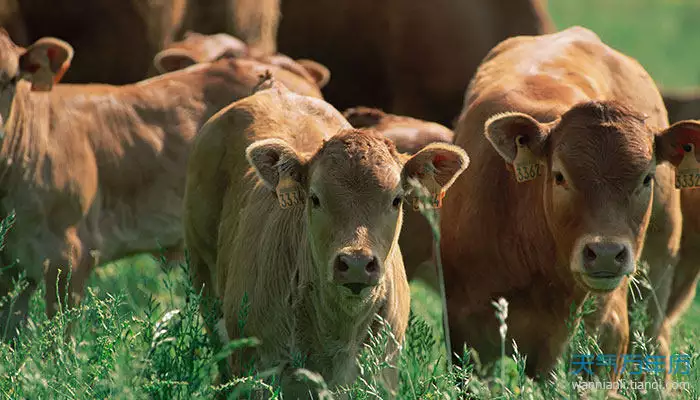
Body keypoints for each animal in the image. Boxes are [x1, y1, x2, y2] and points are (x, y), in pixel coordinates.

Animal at [440, 27, 692, 384]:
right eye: (560, 176)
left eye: (647, 178)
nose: (605, 253)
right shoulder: (467, 335)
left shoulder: (605, 338)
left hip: (654, 276)